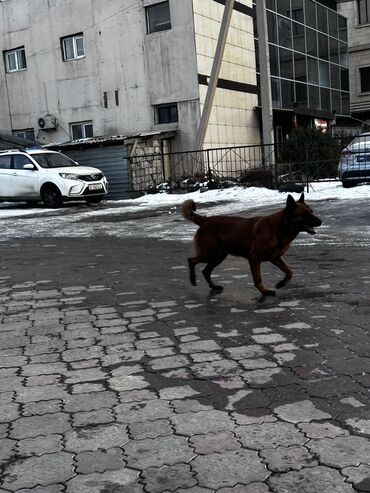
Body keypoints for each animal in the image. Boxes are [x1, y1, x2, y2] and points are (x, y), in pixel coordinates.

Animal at [182, 193, 320, 296]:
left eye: (312, 211)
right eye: (305, 214)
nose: (321, 221)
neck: (279, 228)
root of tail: (205, 220)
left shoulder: (276, 258)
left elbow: (290, 272)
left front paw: (281, 284)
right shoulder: (254, 259)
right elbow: (258, 279)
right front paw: (264, 292)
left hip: (218, 257)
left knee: (205, 271)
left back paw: (214, 286)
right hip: (211, 254)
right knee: (191, 260)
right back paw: (192, 279)